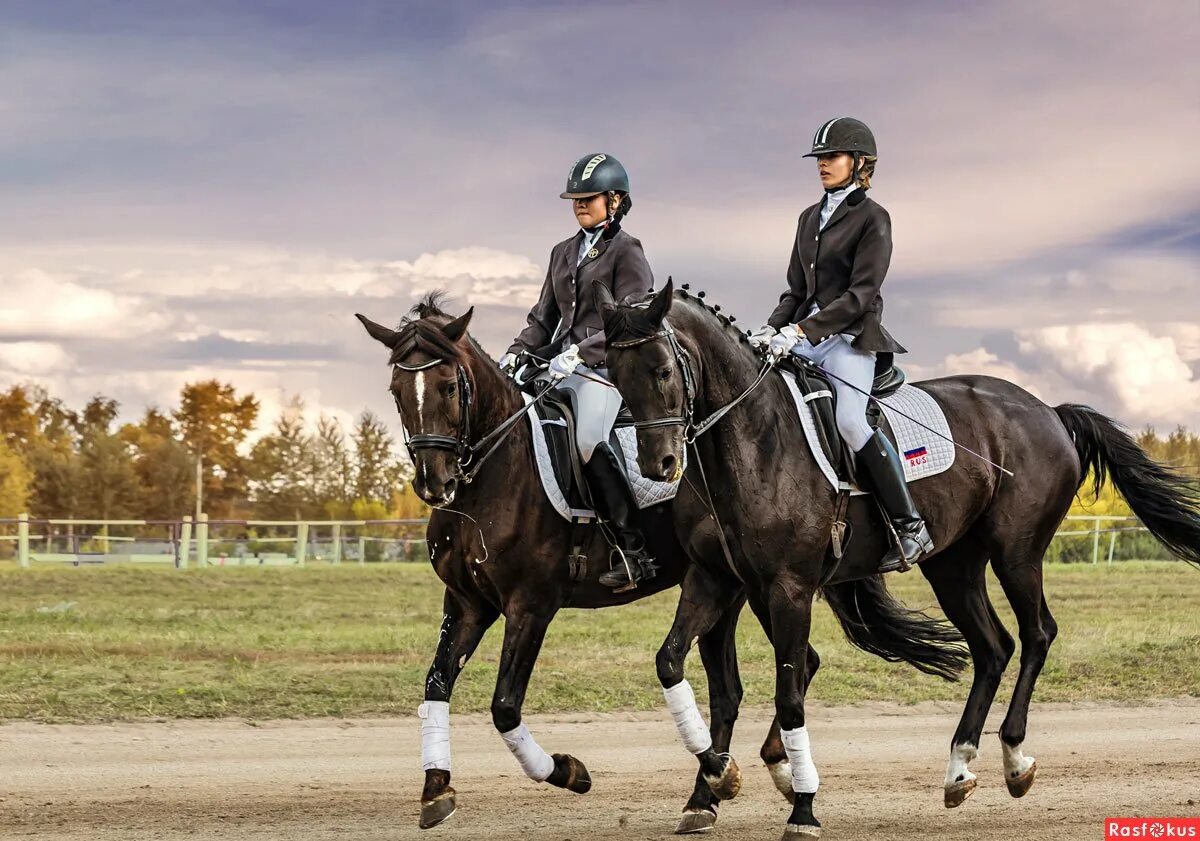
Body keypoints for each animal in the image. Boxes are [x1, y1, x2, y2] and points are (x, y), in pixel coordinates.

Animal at [352, 295, 964, 835]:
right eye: (397, 390)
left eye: (450, 385)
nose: (435, 483)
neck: (495, 474)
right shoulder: (468, 603)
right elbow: (435, 685)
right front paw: (436, 789)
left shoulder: (531, 606)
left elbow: (504, 705)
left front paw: (568, 773)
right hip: (744, 589)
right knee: (781, 670)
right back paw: (757, 776)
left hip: (753, 588)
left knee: (777, 672)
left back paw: (744, 776)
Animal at [600, 278, 1200, 835]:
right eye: (614, 374)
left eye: (661, 370)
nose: (658, 464)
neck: (750, 441)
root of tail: (1046, 410)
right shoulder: (714, 579)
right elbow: (670, 661)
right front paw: (716, 779)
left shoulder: (789, 587)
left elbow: (790, 696)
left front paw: (803, 807)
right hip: (953, 564)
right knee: (993, 648)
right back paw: (959, 767)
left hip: (1017, 553)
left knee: (1036, 635)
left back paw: (1013, 758)